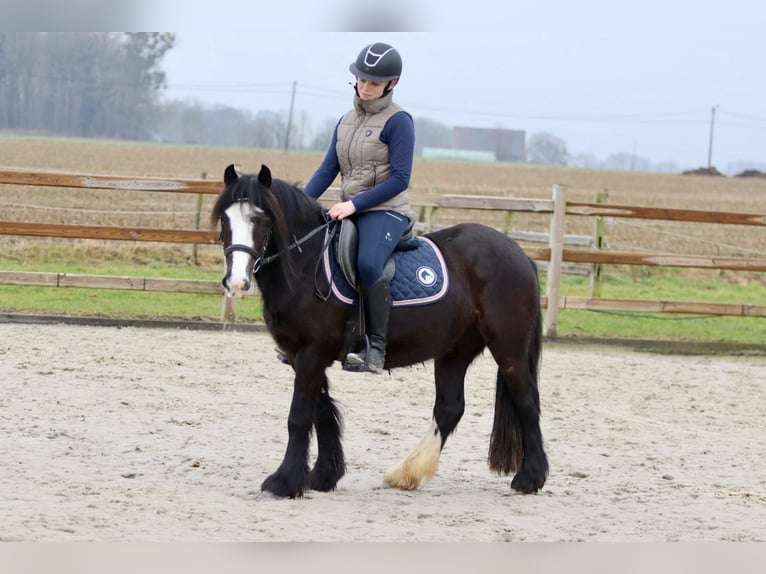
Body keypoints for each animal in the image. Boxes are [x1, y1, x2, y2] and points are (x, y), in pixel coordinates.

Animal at [213, 165, 548, 500]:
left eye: (262, 219)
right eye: (226, 220)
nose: (236, 282)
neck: (308, 266)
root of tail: (519, 253)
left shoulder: (312, 353)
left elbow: (299, 415)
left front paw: (283, 482)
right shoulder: (301, 356)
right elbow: (321, 412)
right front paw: (322, 476)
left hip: (508, 348)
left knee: (527, 402)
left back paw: (529, 478)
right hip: (455, 351)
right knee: (449, 408)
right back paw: (408, 473)